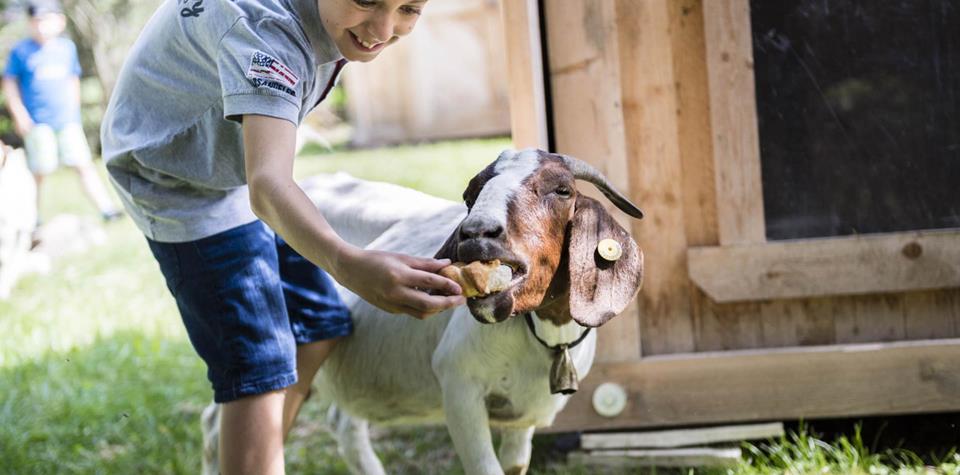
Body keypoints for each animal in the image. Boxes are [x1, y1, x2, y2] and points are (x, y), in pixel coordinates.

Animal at [201, 148, 644, 475]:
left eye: (562, 189)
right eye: (470, 194)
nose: (476, 233)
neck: (547, 337)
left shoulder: (523, 416)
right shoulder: (460, 387)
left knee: (344, 424)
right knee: (218, 425)